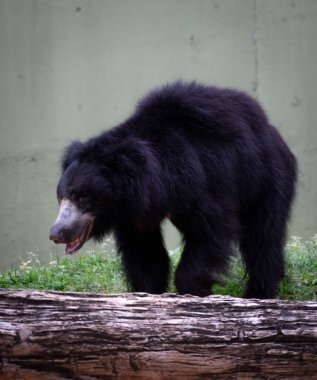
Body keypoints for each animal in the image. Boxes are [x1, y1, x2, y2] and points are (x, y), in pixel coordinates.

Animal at [49, 81, 296, 298]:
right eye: (61, 198)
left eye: (81, 198)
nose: (56, 233)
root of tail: (273, 132)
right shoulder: (135, 212)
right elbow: (144, 251)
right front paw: (148, 290)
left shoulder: (199, 180)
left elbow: (214, 228)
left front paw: (198, 289)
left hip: (266, 178)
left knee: (262, 236)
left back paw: (259, 293)